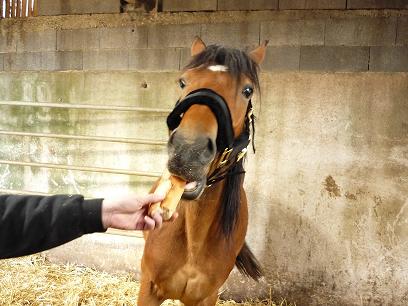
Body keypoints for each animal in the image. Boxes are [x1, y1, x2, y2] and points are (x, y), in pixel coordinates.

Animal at [139, 38, 268, 306]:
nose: (188, 151)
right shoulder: (148, 288)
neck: (193, 243)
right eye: (183, 81)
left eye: (247, 90)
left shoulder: (207, 297)